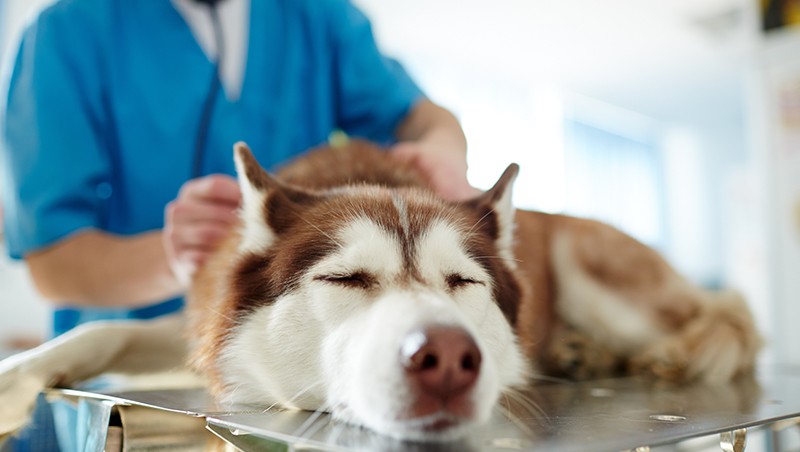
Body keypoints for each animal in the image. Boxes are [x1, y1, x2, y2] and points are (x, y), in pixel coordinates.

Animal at [0, 140, 760, 442]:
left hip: (593, 268)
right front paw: (17, 374)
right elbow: (106, 329)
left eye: (463, 283)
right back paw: (584, 355)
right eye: (346, 279)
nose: (448, 361)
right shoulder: (202, 322)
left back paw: (662, 352)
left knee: (729, 321)